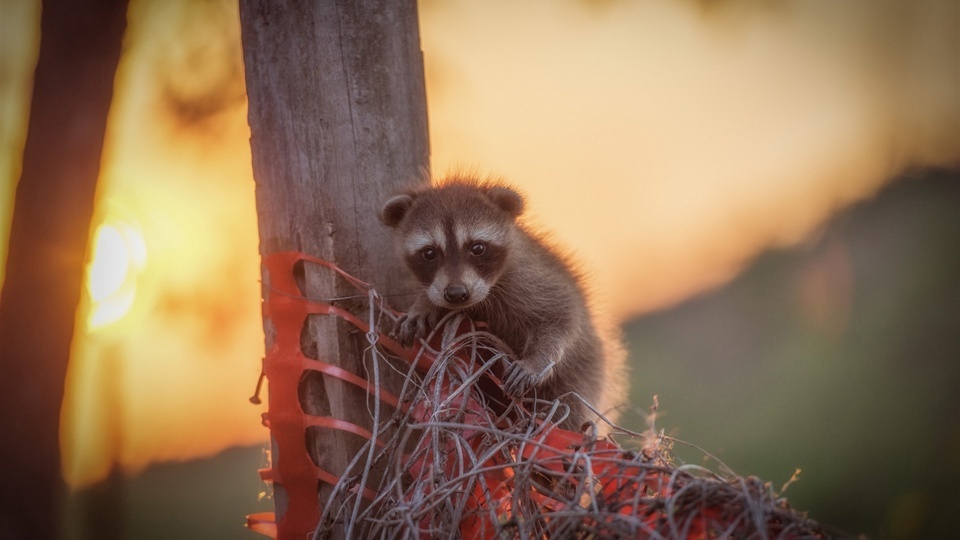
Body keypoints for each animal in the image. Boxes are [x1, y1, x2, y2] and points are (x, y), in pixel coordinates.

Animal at [378, 176, 628, 430]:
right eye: (429, 253)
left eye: (477, 248)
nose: (456, 294)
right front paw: (423, 305)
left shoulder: (531, 278)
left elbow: (562, 316)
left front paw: (535, 361)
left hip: (584, 373)